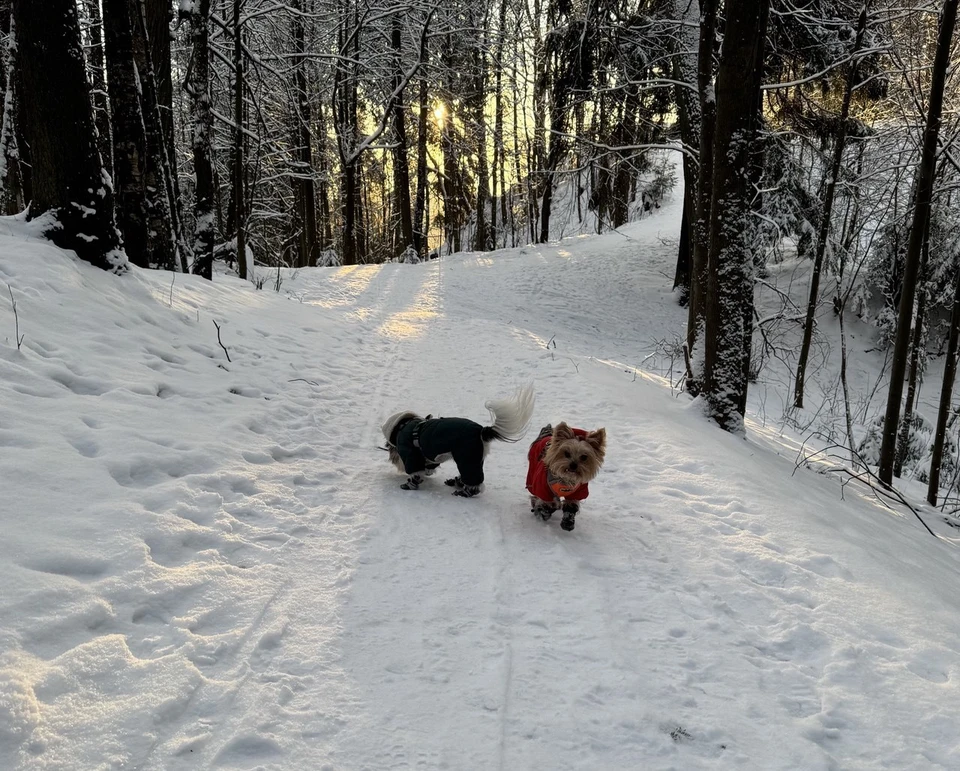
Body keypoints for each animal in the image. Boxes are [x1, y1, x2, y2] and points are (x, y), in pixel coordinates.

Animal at [380, 386, 532, 500]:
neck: (402, 427)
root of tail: (481, 431)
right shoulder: (430, 457)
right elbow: (428, 466)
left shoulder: (410, 454)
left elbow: (415, 473)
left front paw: (409, 485)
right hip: (474, 458)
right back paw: (457, 482)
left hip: (467, 457)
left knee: (474, 483)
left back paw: (463, 492)